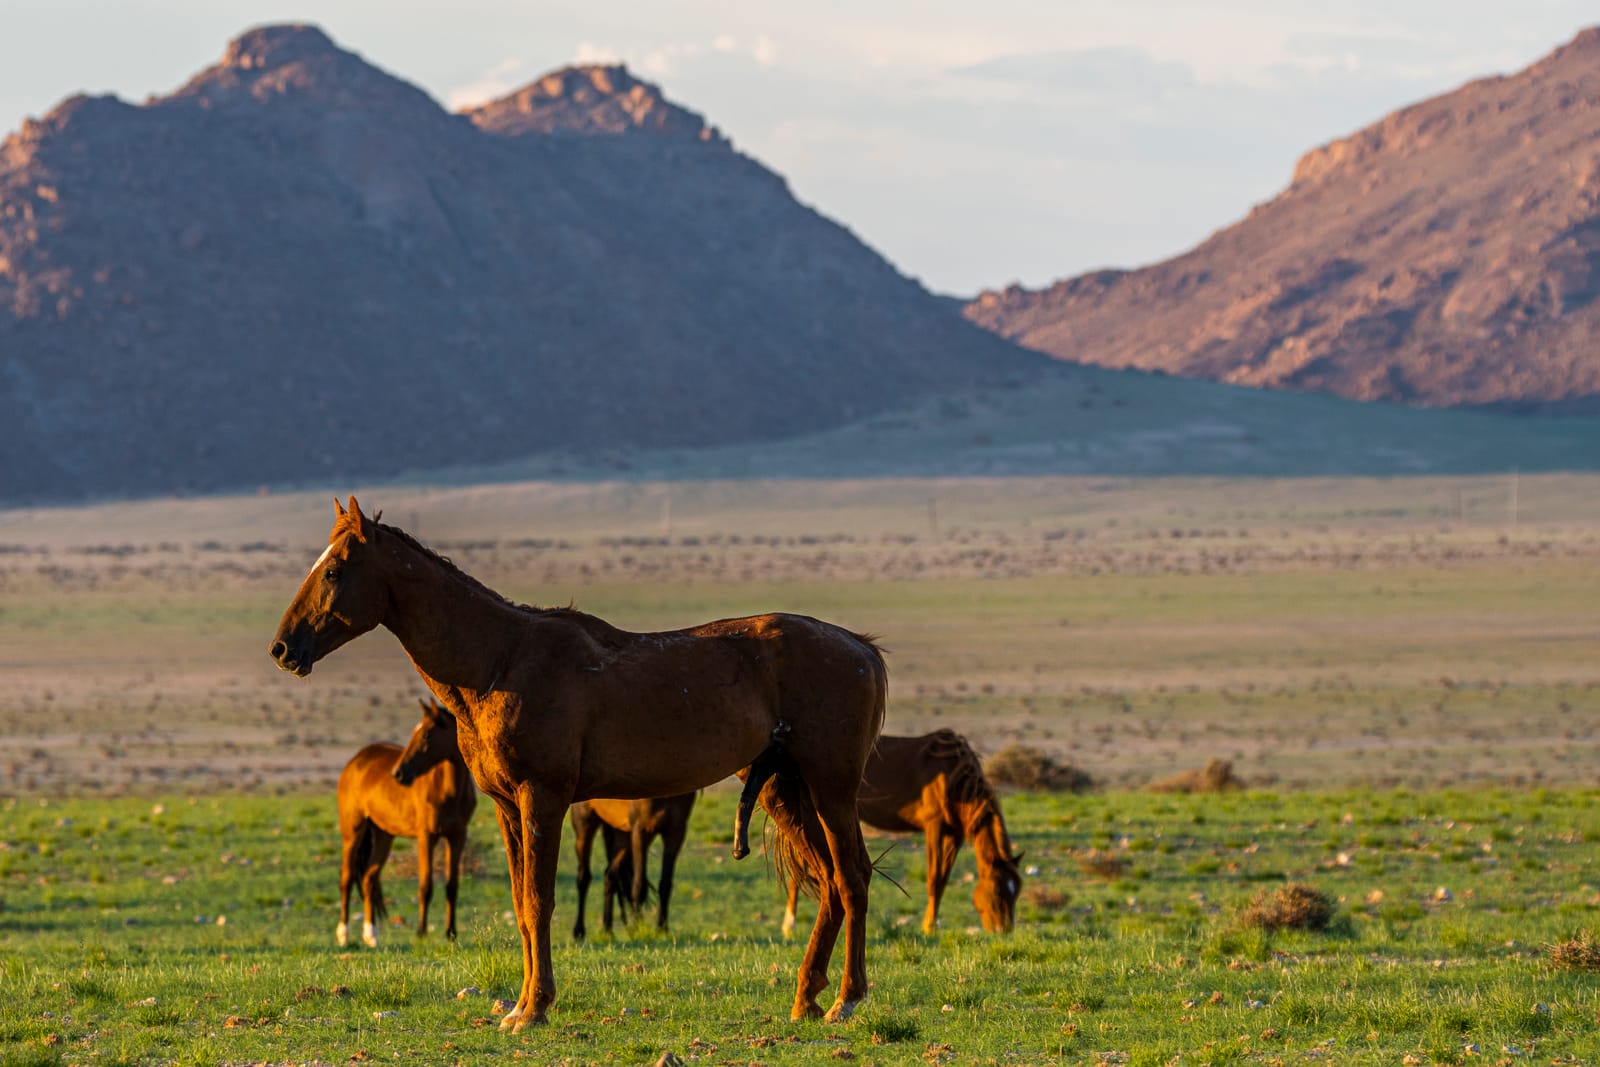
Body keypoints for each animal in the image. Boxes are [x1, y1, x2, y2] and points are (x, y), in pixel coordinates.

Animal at [335, 697, 477, 947]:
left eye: (427, 734)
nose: (399, 774)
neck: (448, 792)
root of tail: (356, 761)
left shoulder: (457, 836)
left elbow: (452, 886)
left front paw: (451, 933)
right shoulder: (426, 837)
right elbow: (425, 886)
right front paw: (421, 932)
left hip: (384, 835)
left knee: (369, 879)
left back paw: (371, 935)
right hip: (353, 832)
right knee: (347, 878)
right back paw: (344, 934)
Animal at [569, 792, 697, 940]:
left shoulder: (675, 832)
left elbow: (665, 885)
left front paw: (662, 930)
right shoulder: (640, 831)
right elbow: (638, 886)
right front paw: (637, 929)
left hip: (622, 834)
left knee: (610, 876)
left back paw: (607, 930)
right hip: (584, 828)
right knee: (583, 878)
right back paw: (579, 931)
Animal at [781, 729, 1023, 936]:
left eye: (1016, 890)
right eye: (997, 891)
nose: (1004, 930)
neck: (953, 775)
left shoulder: (955, 834)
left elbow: (943, 880)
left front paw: (932, 924)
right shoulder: (934, 827)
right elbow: (934, 878)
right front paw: (928, 927)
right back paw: (789, 925)